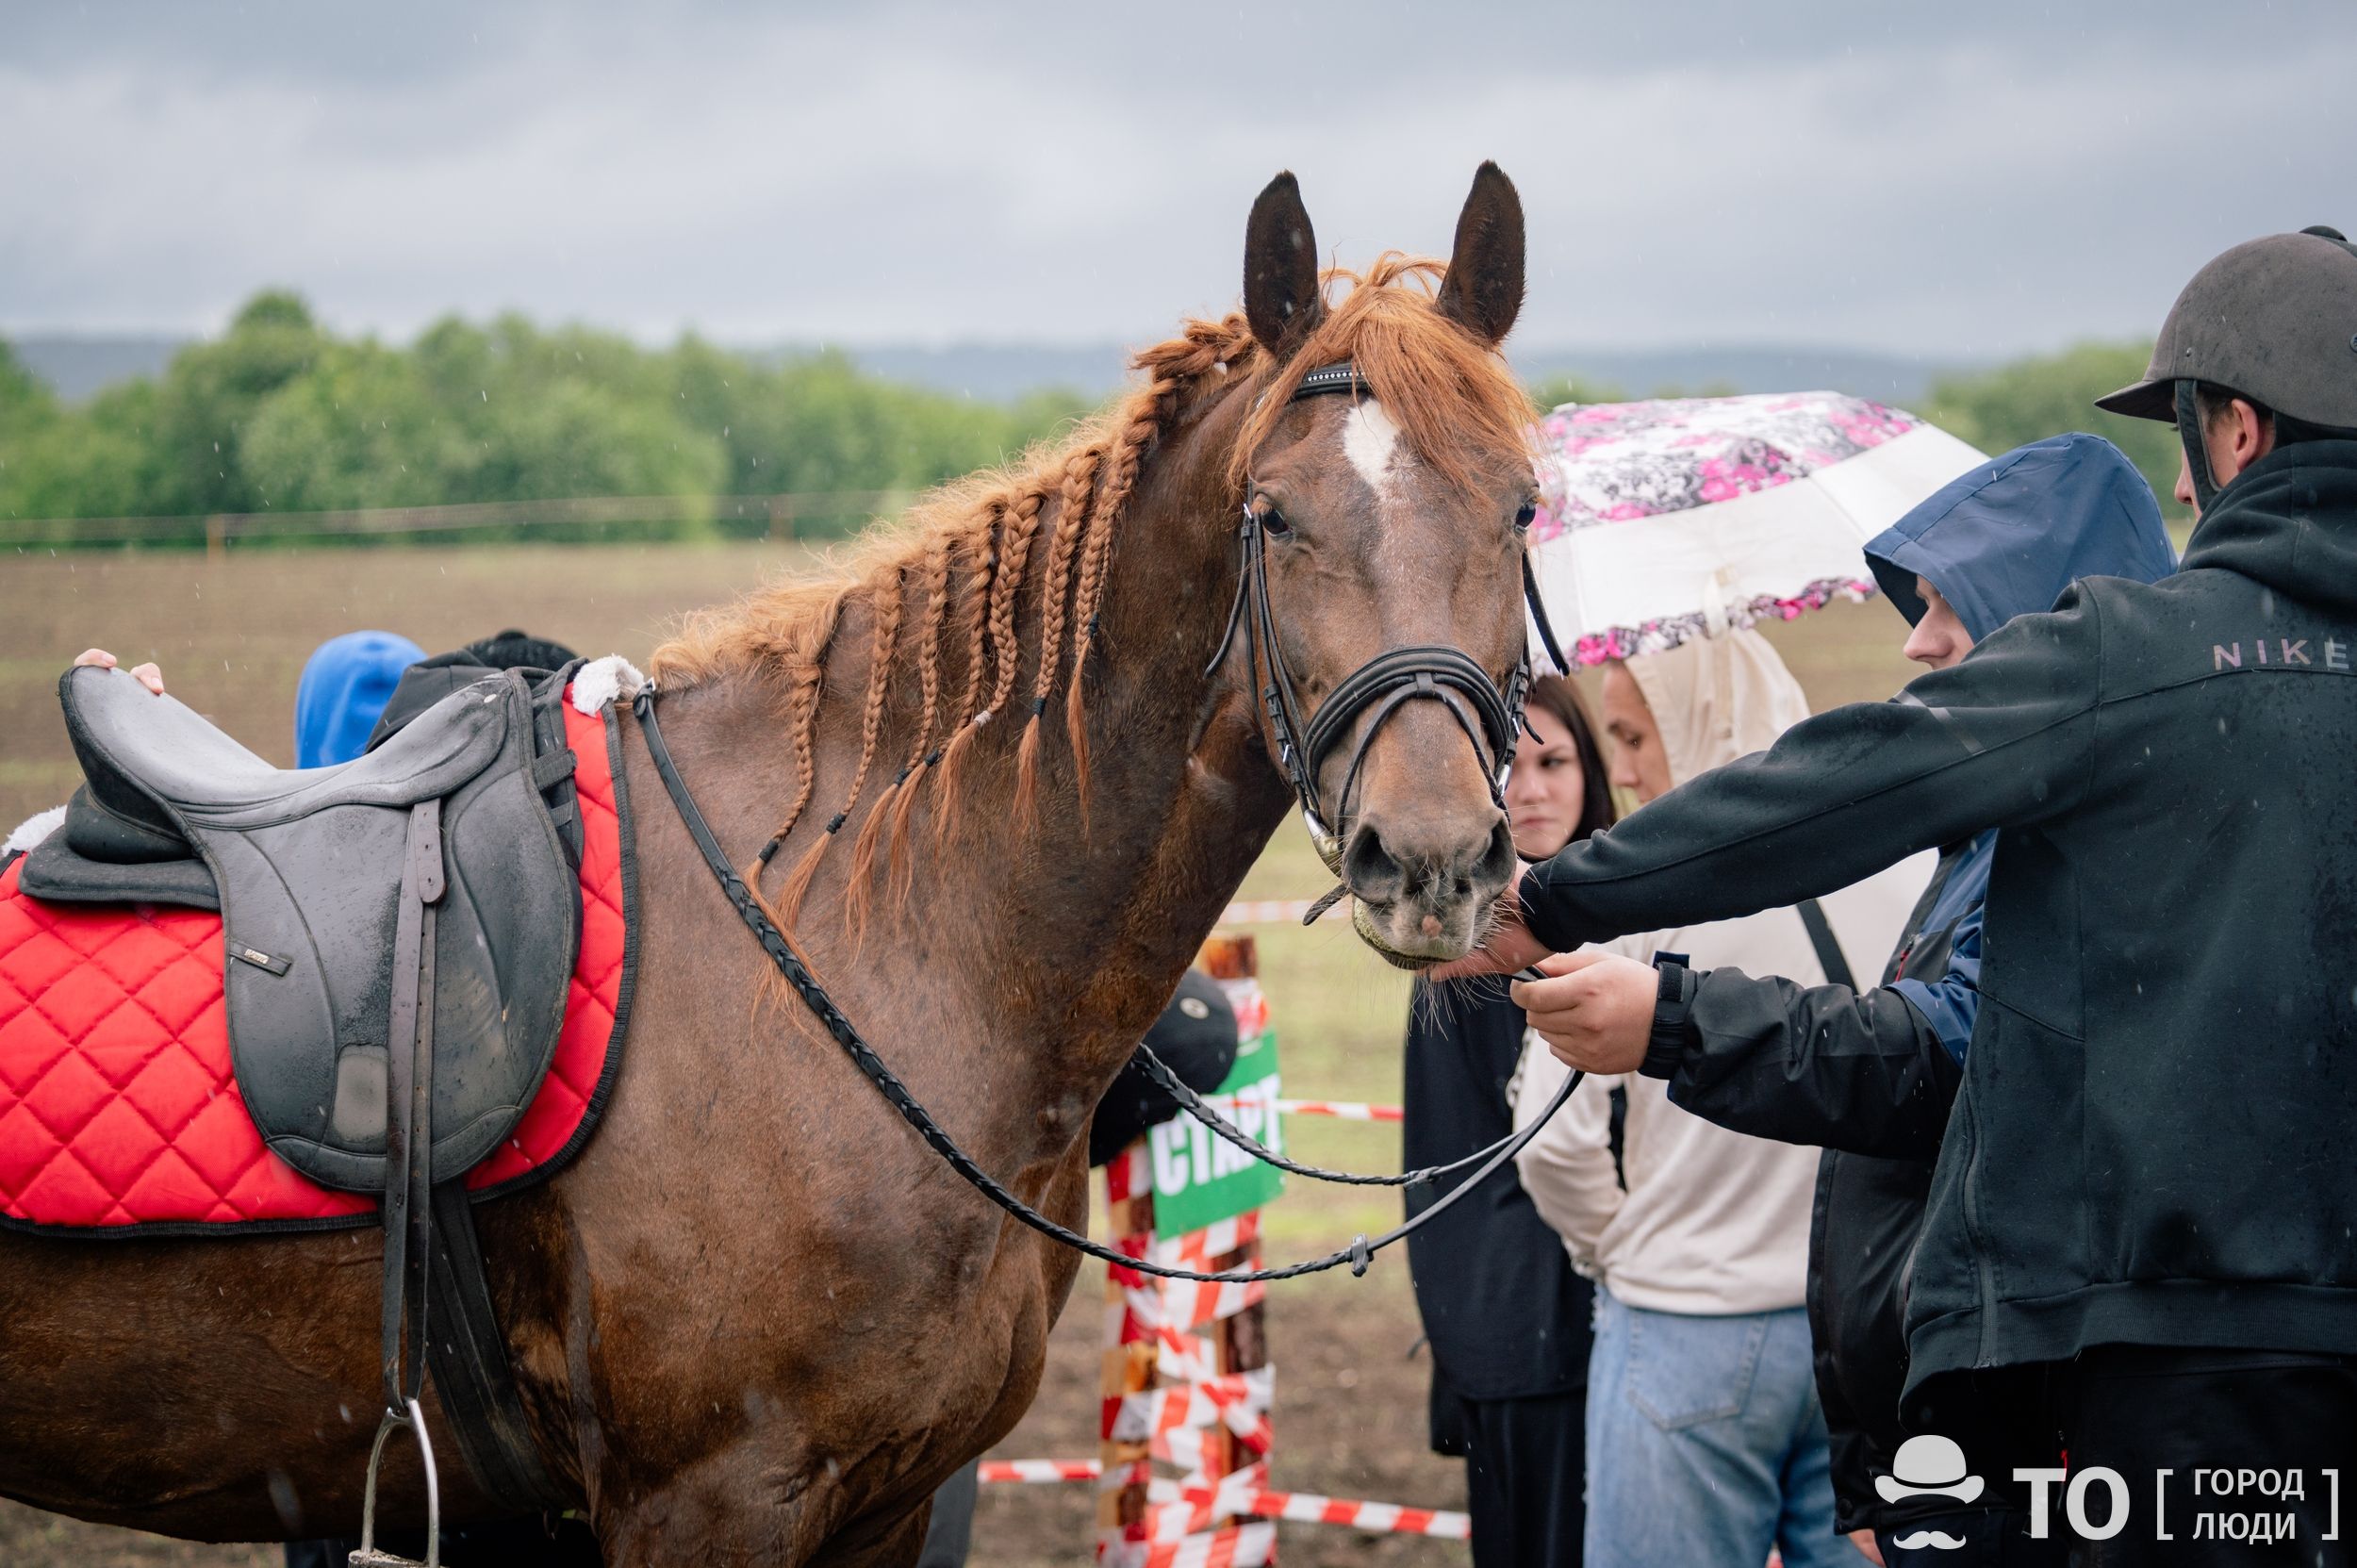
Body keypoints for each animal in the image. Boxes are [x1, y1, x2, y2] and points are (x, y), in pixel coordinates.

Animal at [0, 163, 1541, 1565]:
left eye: (1522, 506)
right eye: (1274, 514)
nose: (1433, 856)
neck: (872, 954)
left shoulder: (886, 1504)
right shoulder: (710, 1499)